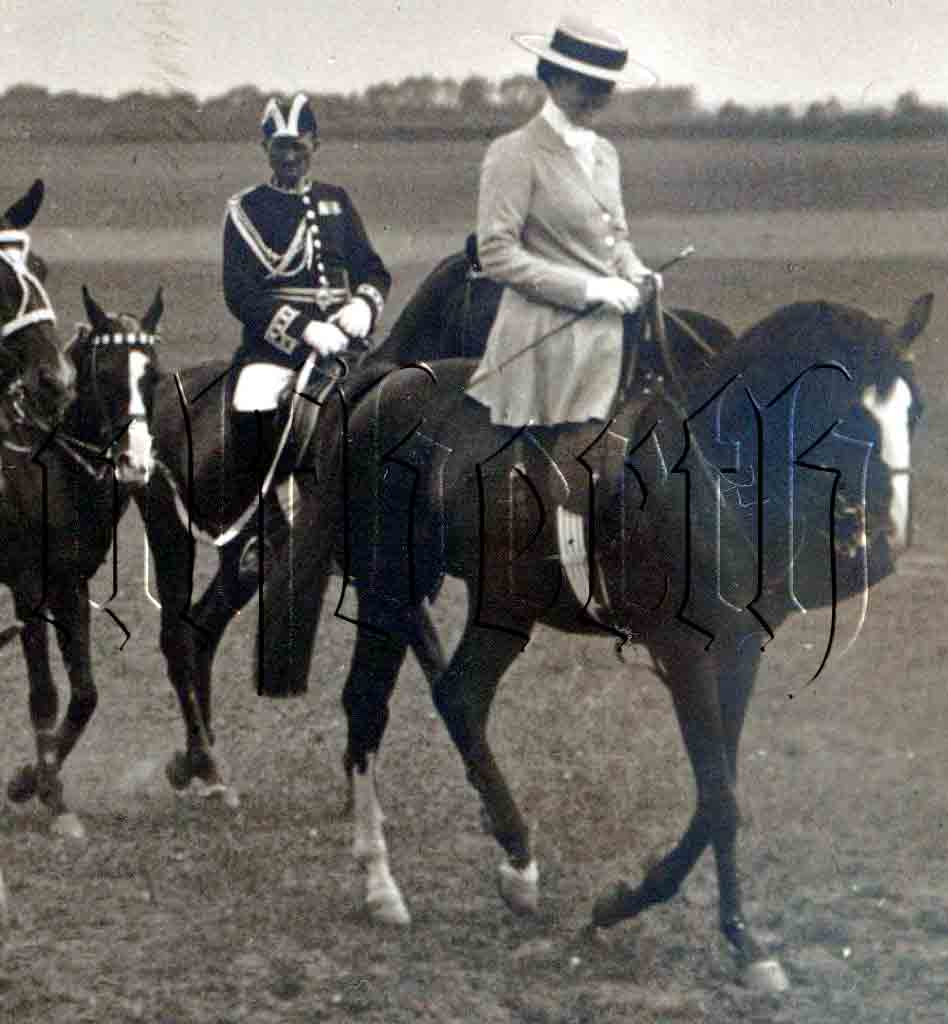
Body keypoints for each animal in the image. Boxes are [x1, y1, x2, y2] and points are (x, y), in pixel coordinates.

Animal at [3, 285, 163, 839]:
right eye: (107, 374)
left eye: (153, 376)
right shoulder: (29, 587)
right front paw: (48, 794)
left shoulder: (70, 585)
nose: (136, 463)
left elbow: (86, 693)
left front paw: (30, 779)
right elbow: (45, 693)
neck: (52, 467)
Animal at [139, 240, 738, 805]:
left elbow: (425, 666)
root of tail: (165, 391)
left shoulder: (406, 581)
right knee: (180, 637)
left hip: (238, 565)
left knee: (202, 630)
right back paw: (201, 763)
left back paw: (202, 764)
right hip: (173, 538)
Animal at [253, 290, 933, 991]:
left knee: (460, 696)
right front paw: (745, 944)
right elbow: (721, 798)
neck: (714, 473)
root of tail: (386, 382)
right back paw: (381, 882)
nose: (886, 544)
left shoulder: (741, 651)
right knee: (368, 706)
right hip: (389, 588)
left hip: (503, 604)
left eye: (915, 411)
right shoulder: (686, 651)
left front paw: (624, 903)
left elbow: (720, 790)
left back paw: (518, 864)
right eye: (845, 413)